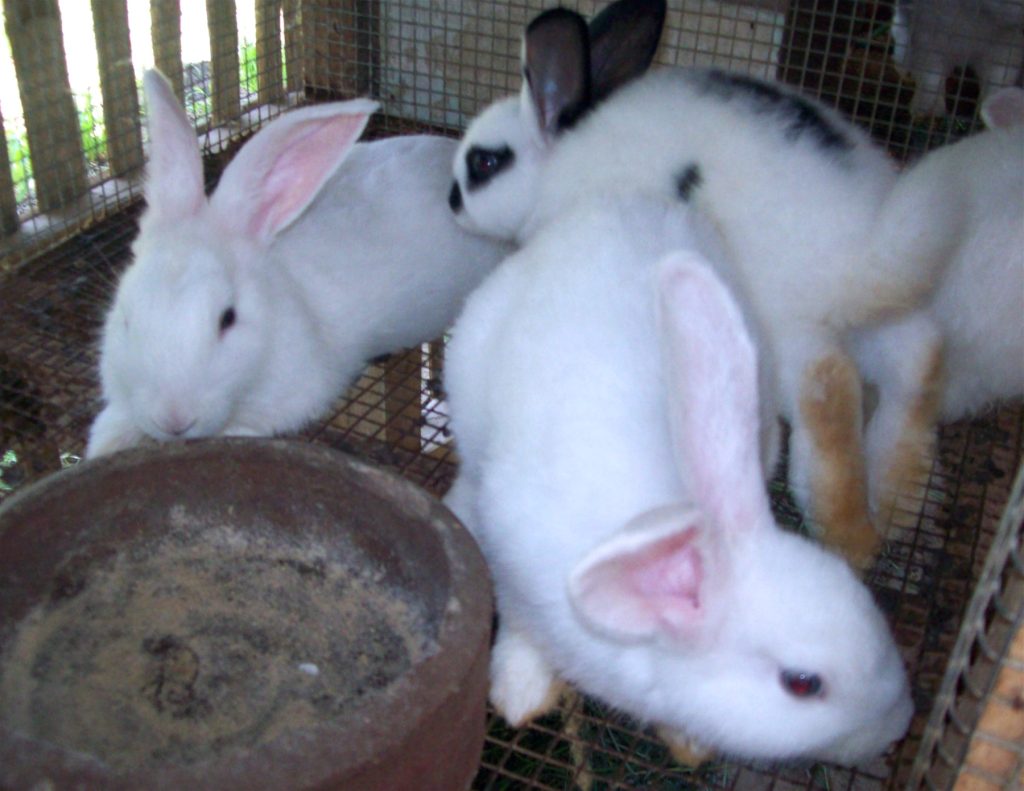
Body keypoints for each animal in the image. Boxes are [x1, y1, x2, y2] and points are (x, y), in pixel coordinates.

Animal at [442, 192, 913, 765]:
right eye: (802, 683)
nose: (898, 727)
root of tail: (613, 208)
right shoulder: (516, 573)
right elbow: (519, 625)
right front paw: (521, 692)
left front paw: (688, 743)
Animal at [447, 0, 947, 567]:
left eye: (485, 162)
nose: (451, 200)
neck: (559, 158)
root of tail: (867, 249)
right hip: (886, 322)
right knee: (922, 360)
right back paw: (900, 501)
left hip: (789, 331)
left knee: (831, 389)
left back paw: (851, 537)